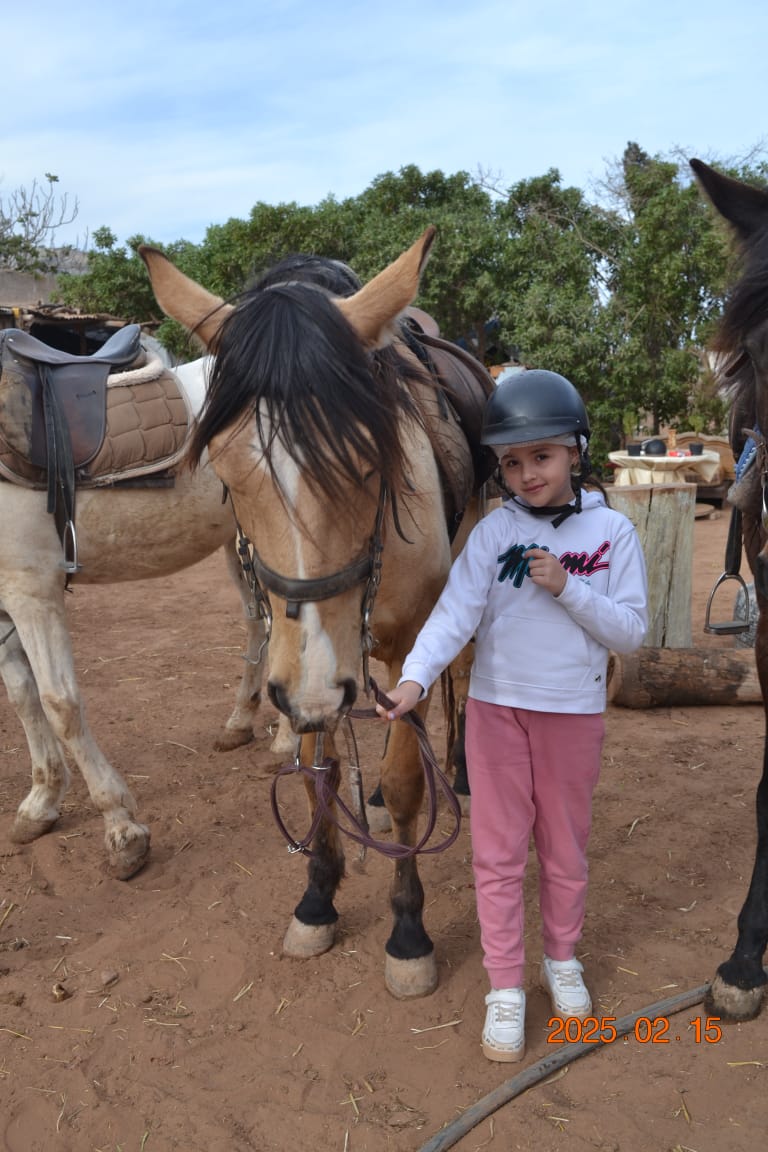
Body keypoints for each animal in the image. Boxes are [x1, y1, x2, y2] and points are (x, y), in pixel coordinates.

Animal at [0, 335, 293, 881]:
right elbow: (23, 697)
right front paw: (41, 801)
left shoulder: (32, 590)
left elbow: (60, 703)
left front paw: (122, 830)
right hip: (241, 542)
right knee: (258, 625)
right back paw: (240, 724)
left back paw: (286, 742)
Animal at [139, 229, 494, 997]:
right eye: (224, 464)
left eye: (369, 459)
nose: (312, 688)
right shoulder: (302, 668)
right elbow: (316, 769)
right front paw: (318, 896)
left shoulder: (403, 647)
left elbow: (406, 779)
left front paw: (408, 932)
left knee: (465, 676)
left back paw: (461, 770)